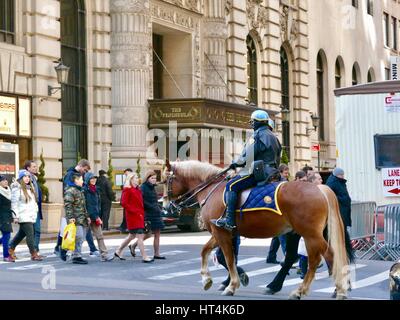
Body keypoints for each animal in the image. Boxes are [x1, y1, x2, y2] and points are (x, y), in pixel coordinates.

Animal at [164, 160, 352, 300]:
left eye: (166, 180)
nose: (165, 205)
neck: (212, 190)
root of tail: (319, 188)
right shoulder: (221, 233)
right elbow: (207, 252)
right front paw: (207, 280)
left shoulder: (221, 232)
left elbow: (228, 258)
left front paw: (232, 285)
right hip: (299, 233)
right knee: (300, 257)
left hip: (310, 234)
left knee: (324, 256)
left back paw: (333, 289)